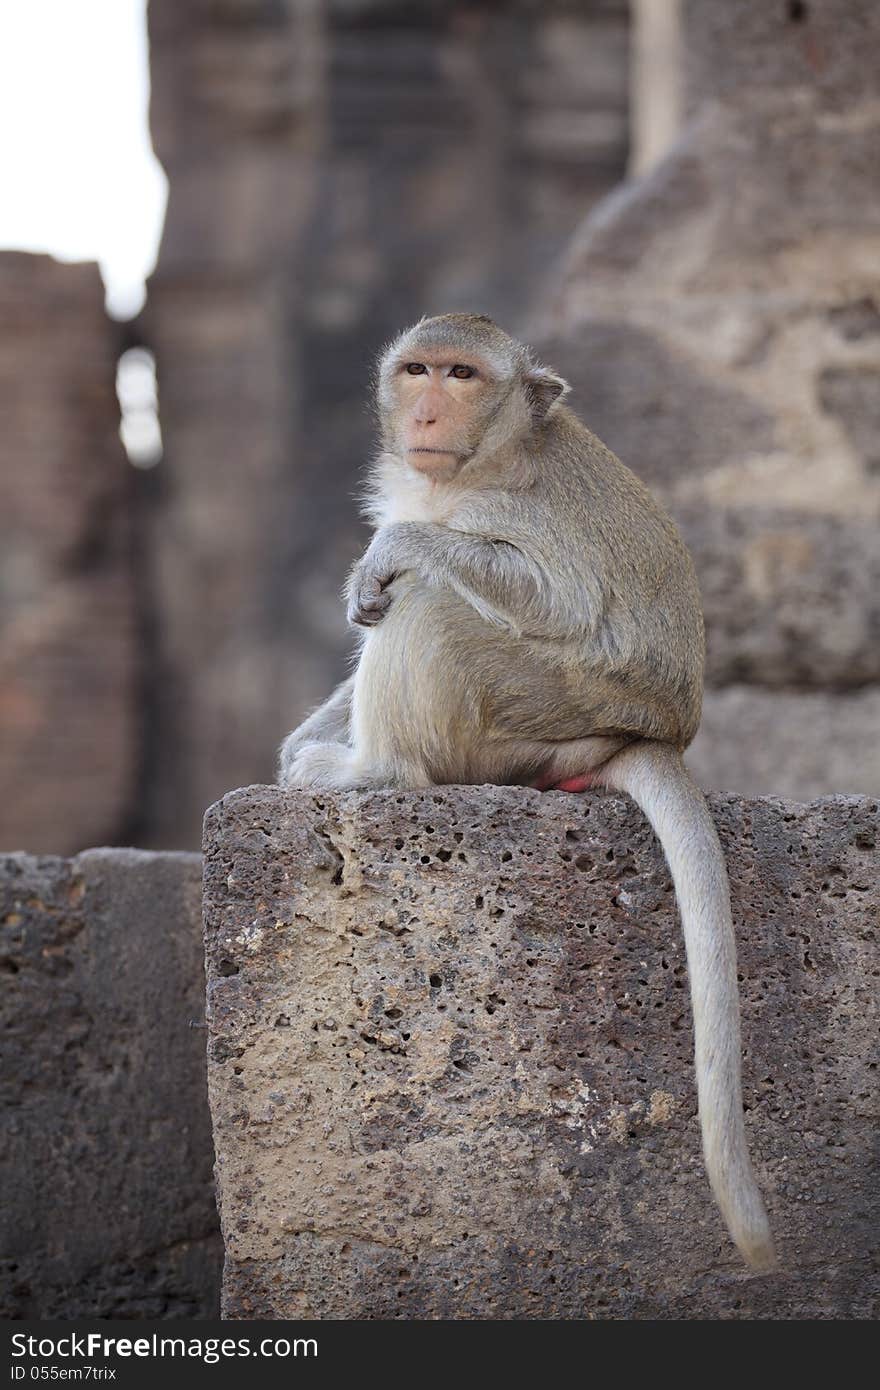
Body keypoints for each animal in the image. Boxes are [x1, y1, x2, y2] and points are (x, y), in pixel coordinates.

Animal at [279, 312, 772, 1273]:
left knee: (435, 606)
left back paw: (373, 771)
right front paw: (295, 739)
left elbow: (548, 599)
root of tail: (639, 736)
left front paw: (396, 552)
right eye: (418, 370)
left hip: (535, 707)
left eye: (464, 375)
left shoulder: (509, 515)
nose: (427, 412)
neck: (479, 463)